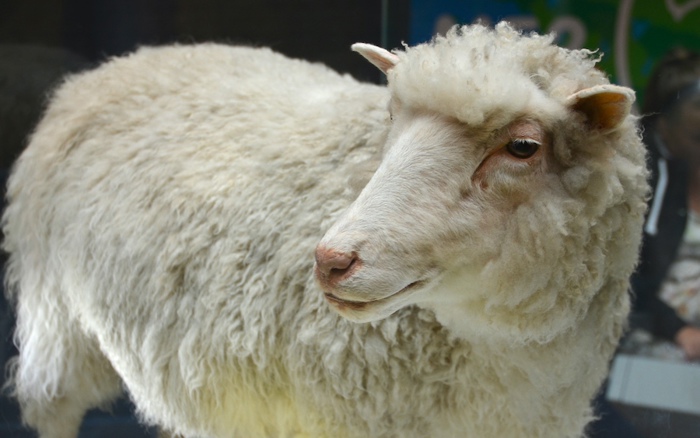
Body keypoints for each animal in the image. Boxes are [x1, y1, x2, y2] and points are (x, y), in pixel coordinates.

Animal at [2, 22, 648, 438]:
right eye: (391, 118)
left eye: (523, 147)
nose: (332, 261)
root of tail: (109, 68)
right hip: (57, 319)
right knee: (52, 407)